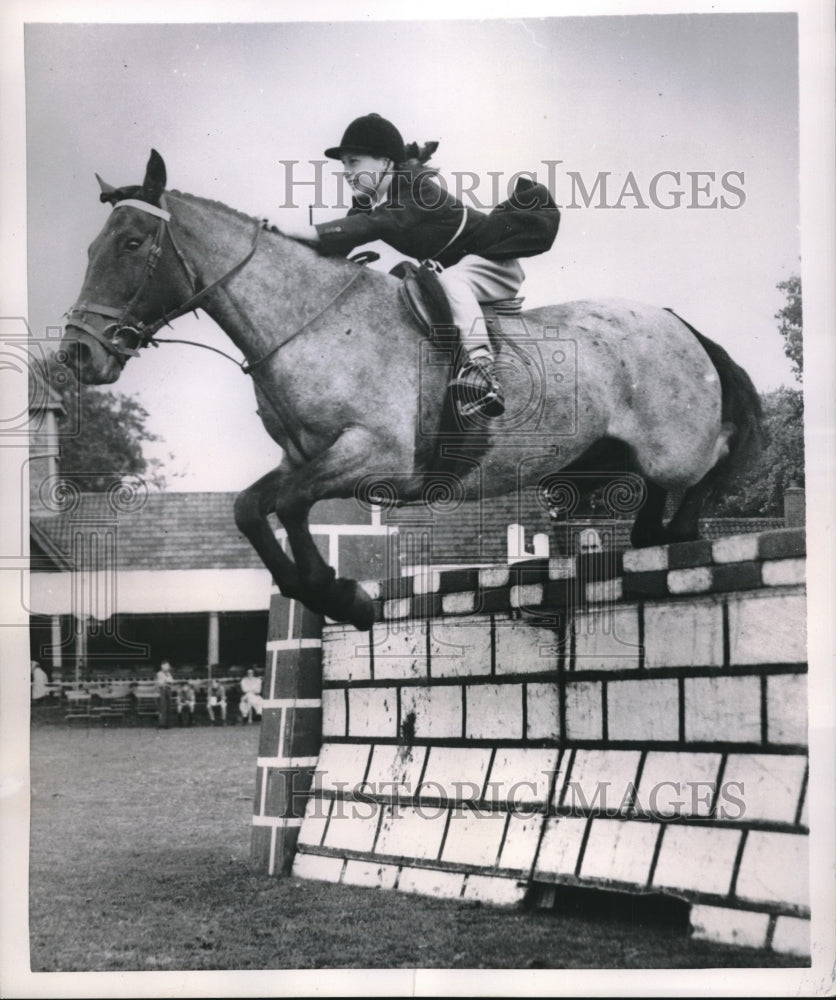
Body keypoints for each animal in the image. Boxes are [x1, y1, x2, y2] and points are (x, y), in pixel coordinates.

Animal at [60, 148, 764, 628]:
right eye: (90, 248)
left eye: (131, 244)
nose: (78, 353)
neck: (307, 321)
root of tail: (680, 323)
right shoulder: (304, 455)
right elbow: (251, 507)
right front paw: (318, 590)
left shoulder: (377, 456)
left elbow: (289, 503)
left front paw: (339, 593)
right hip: (609, 452)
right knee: (658, 491)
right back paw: (650, 537)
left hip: (673, 444)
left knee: (714, 458)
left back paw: (679, 529)